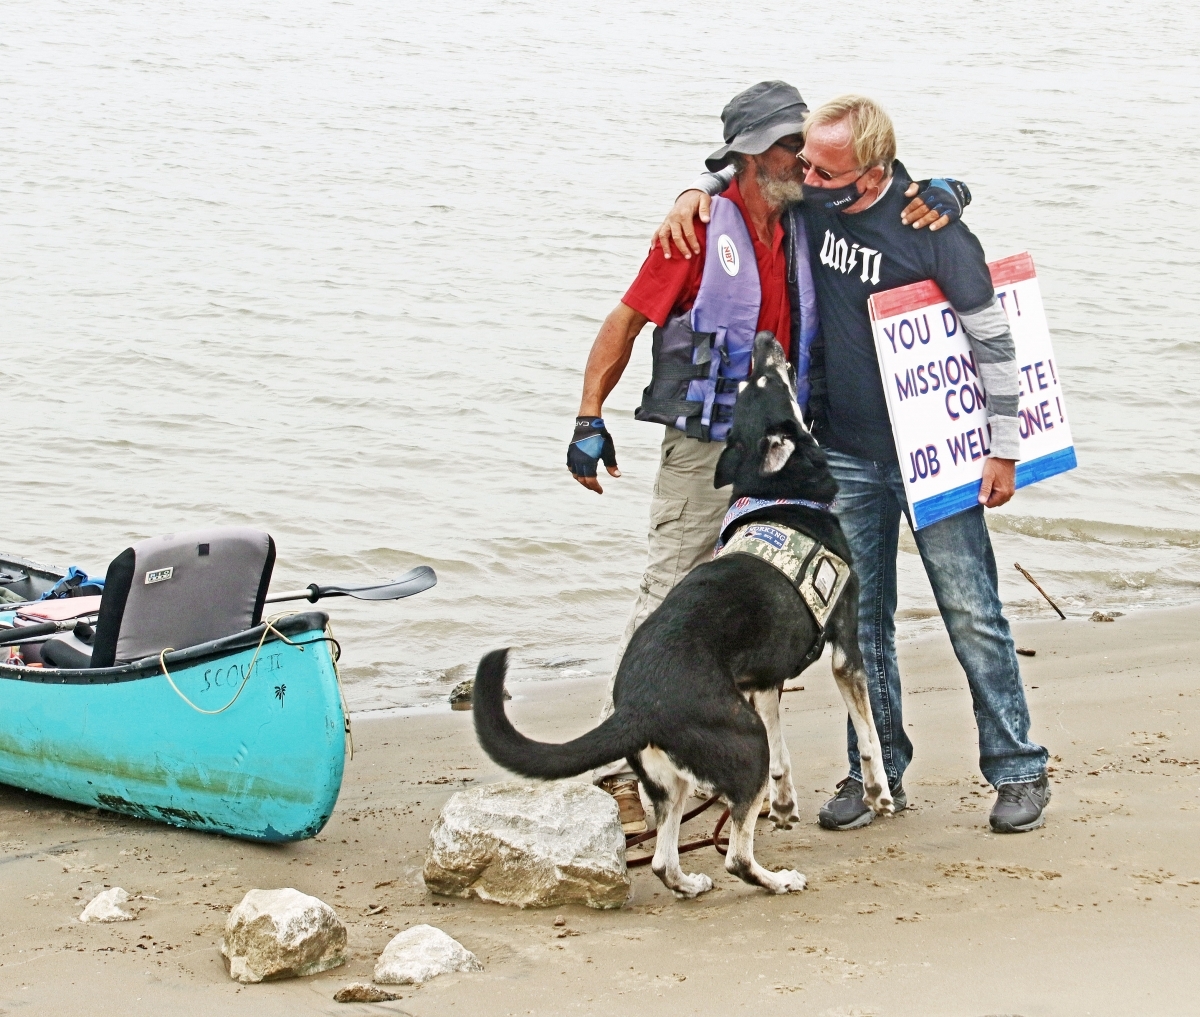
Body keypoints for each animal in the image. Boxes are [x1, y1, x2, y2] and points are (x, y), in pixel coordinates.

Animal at [473, 333, 892, 898]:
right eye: (765, 380)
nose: (765, 341)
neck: (778, 493)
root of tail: (636, 707)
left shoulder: (765, 681)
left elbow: (784, 755)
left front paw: (784, 804)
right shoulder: (845, 645)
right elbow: (868, 736)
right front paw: (878, 793)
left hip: (674, 775)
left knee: (661, 858)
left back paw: (690, 882)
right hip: (743, 741)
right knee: (736, 856)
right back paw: (776, 879)